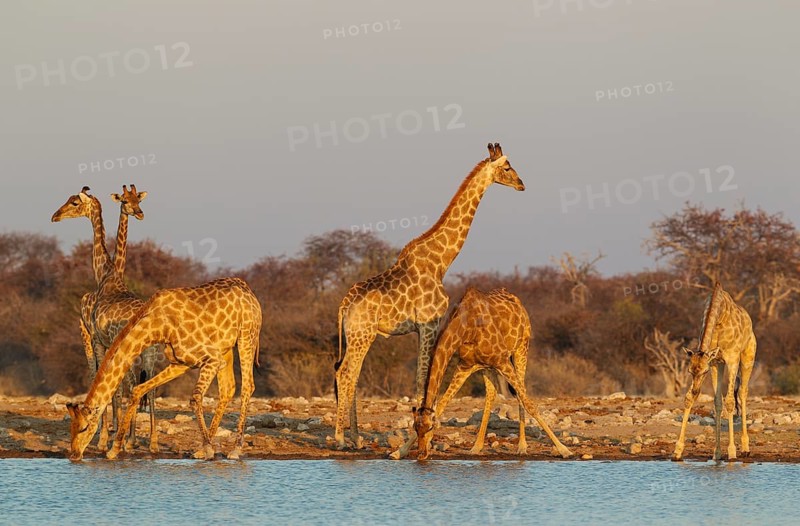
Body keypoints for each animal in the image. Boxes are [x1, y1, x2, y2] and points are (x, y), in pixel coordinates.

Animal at [52, 185, 159, 452]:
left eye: (74, 202)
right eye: (126, 201)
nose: (55, 216)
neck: (107, 275)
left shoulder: (100, 341)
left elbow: (111, 388)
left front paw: (103, 439)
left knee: (121, 383)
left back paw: (125, 439)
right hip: (150, 354)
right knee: (148, 387)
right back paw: (151, 443)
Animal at [66, 277, 262, 462]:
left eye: (84, 427)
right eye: (71, 428)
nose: (74, 454)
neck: (157, 326)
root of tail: (250, 292)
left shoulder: (211, 358)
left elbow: (195, 398)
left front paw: (209, 449)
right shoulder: (181, 362)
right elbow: (138, 390)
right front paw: (114, 450)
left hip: (247, 335)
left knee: (247, 386)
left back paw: (235, 449)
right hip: (226, 347)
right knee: (228, 389)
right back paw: (202, 449)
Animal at [334, 143, 525, 449]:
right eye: (507, 167)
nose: (521, 184)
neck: (441, 262)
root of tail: (344, 305)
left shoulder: (424, 328)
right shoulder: (429, 324)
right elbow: (422, 378)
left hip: (360, 336)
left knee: (351, 373)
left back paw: (356, 437)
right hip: (361, 334)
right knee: (345, 373)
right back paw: (340, 438)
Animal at [401, 287, 572, 460]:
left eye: (430, 428)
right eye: (415, 428)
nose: (421, 454)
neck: (466, 327)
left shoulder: (502, 361)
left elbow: (530, 404)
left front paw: (564, 450)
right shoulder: (465, 366)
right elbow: (443, 404)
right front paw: (400, 451)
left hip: (521, 348)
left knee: (520, 392)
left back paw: (522, 447)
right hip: (487, 366)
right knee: (491, 394)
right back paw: (476, 447)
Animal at [672, 282, 756, 461]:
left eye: (703, 372)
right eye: (690, 371)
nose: (696, 390)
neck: (720, 318)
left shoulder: (731, 358)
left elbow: (730, 401)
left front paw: (731, 452)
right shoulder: (714, 362)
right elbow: (715, 401)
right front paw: (678, 450)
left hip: (748, 356)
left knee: (742, 392)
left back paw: (745, 448)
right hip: (722, 364)